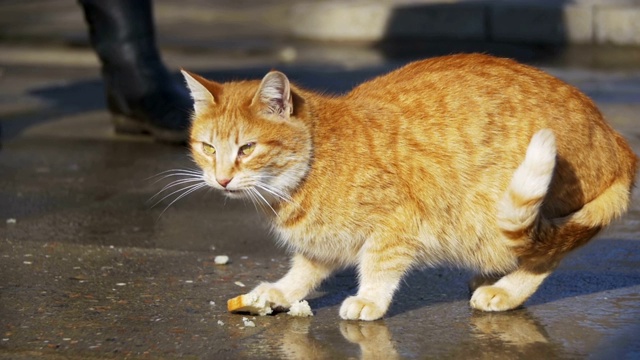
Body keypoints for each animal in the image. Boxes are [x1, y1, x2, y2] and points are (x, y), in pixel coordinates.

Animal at [179, 54, 636, 320]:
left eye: (247, 148)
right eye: (207, 147)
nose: (222, 178)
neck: (315, 162)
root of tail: (618, 143)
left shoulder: (396, 225)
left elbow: (378, 265)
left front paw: (369, 300)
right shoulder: (326, 239)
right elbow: (305, 268)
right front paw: (281, 292)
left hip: (499, 215)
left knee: (546, 253)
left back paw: (506, 291)